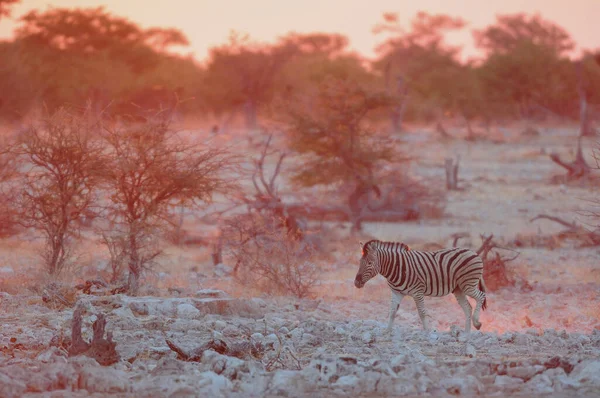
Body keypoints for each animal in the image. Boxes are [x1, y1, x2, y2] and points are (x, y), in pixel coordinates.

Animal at [354, 239, 490, 332]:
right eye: (360, 262)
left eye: (370, 263)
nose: (356, 283)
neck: (397, 267)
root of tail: (473, 252)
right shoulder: (397, 293)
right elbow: (392, 312)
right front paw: (387, 331)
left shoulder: (417, 292)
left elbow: (422, 313)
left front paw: (427, 332)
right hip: (458, 289)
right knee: (467, 308)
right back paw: (467, 333)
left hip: (468, 285)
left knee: (481, 296)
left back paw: (477, 323)